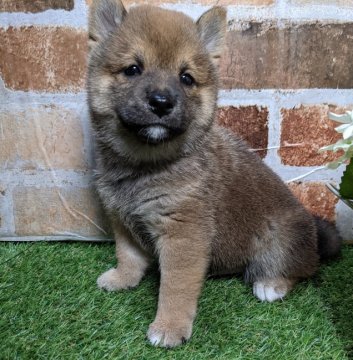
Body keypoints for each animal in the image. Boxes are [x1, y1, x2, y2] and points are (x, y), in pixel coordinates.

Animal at [86, 0, 340, 348]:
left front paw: (169, 327)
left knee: (299, 268)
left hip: (280, 238)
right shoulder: (122, 219)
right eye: (133, 69)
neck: (145, 162)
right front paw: (123, 278)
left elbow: (175, 289)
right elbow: (128, 256)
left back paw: (270, 284)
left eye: (186, 78)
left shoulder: (183, 234)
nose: (162, 102)